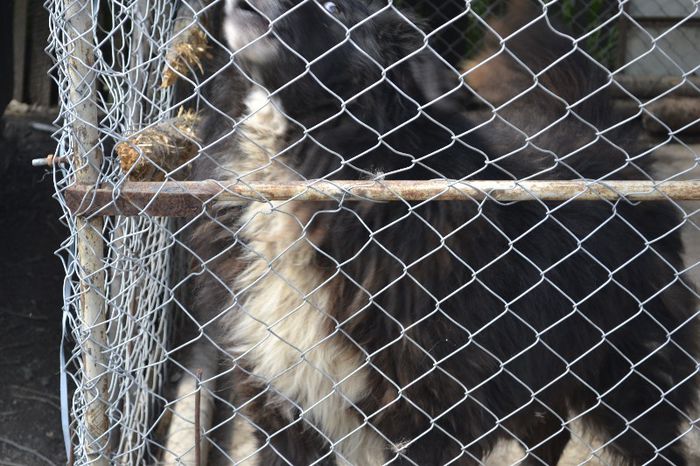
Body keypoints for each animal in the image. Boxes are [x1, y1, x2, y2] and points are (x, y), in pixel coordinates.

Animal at [178, 0, 696, 464]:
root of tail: (606, 138)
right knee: (550, 434)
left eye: (336, 9)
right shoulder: (277, 395)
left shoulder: (430, 409)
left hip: (628, 372)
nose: (244, 5)